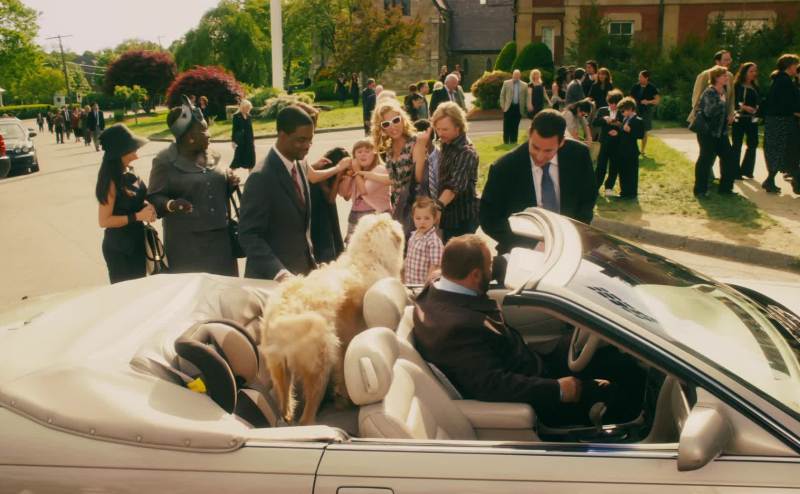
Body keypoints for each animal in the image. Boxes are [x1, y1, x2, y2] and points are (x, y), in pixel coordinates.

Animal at [260, 213, 405, 425]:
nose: (387, 212)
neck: (368, 256)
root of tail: (281, 315)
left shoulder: (346, 344)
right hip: (320, 363)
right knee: (307, 414)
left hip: (279, 369)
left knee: (286, 403)